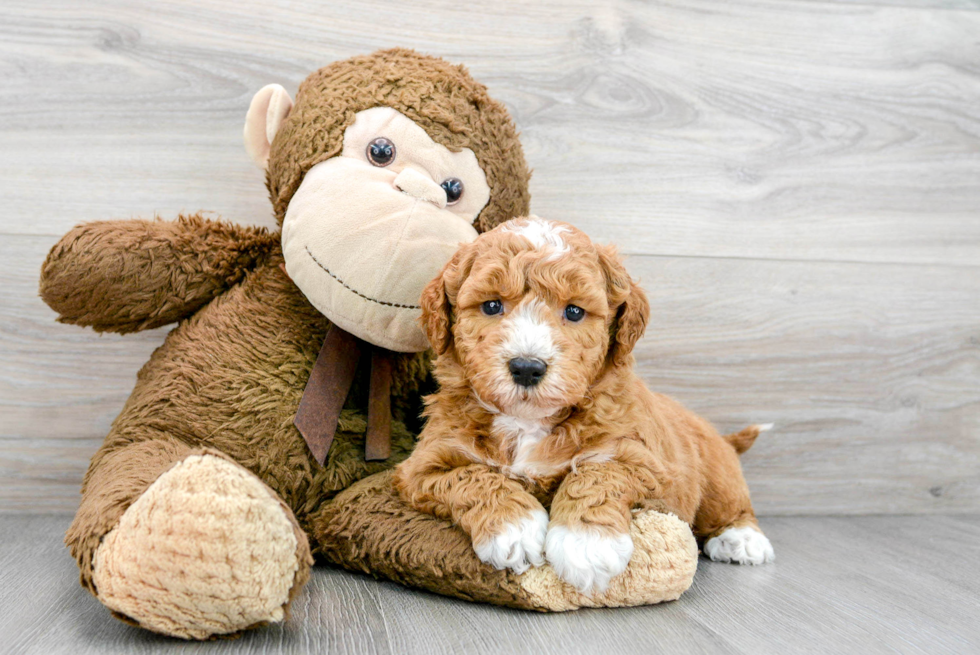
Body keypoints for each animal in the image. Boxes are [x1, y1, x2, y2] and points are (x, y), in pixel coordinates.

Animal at [392, 217, 772, 596]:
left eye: (574, 311)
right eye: (491, 306)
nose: (527, 367)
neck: (527, 421)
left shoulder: (644, 461)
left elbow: (597, 473)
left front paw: (587, 545)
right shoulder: (423, 466)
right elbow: (474, 475)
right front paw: (516, 529)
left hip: (717, 473)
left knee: (731, 506)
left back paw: (743, 539)